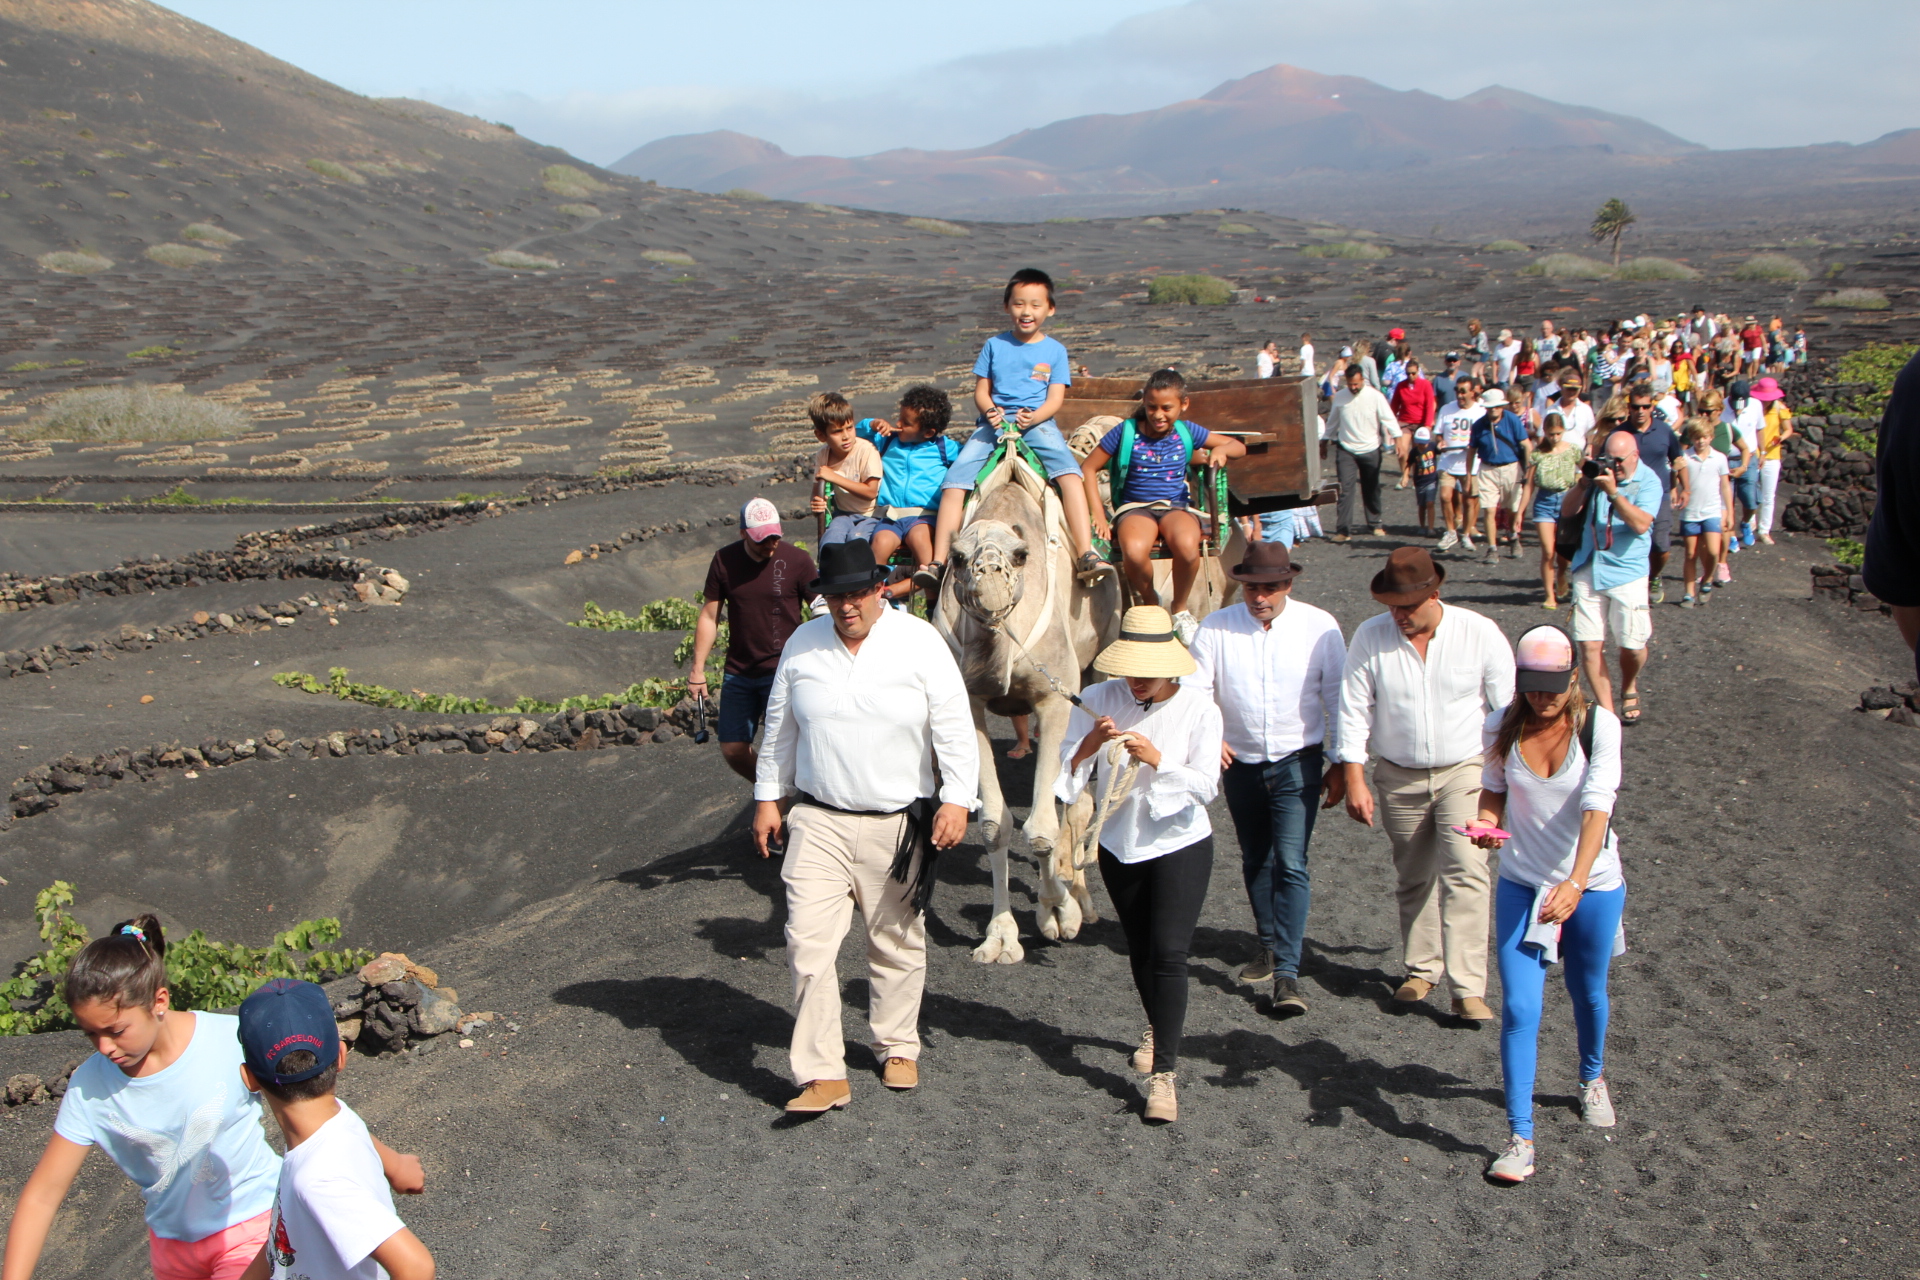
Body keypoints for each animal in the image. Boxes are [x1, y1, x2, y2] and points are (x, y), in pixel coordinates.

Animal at [933, 450, 1121, 959]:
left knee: (1078, 799)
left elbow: (1040, 827)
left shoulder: (1054, 700)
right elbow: (994, 823)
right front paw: (1000, 936)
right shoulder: (969, 704)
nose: (990, 577)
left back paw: (1082, 901)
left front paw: (1058, 912)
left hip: (1100, 665)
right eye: (957, 558)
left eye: (1020, 555)